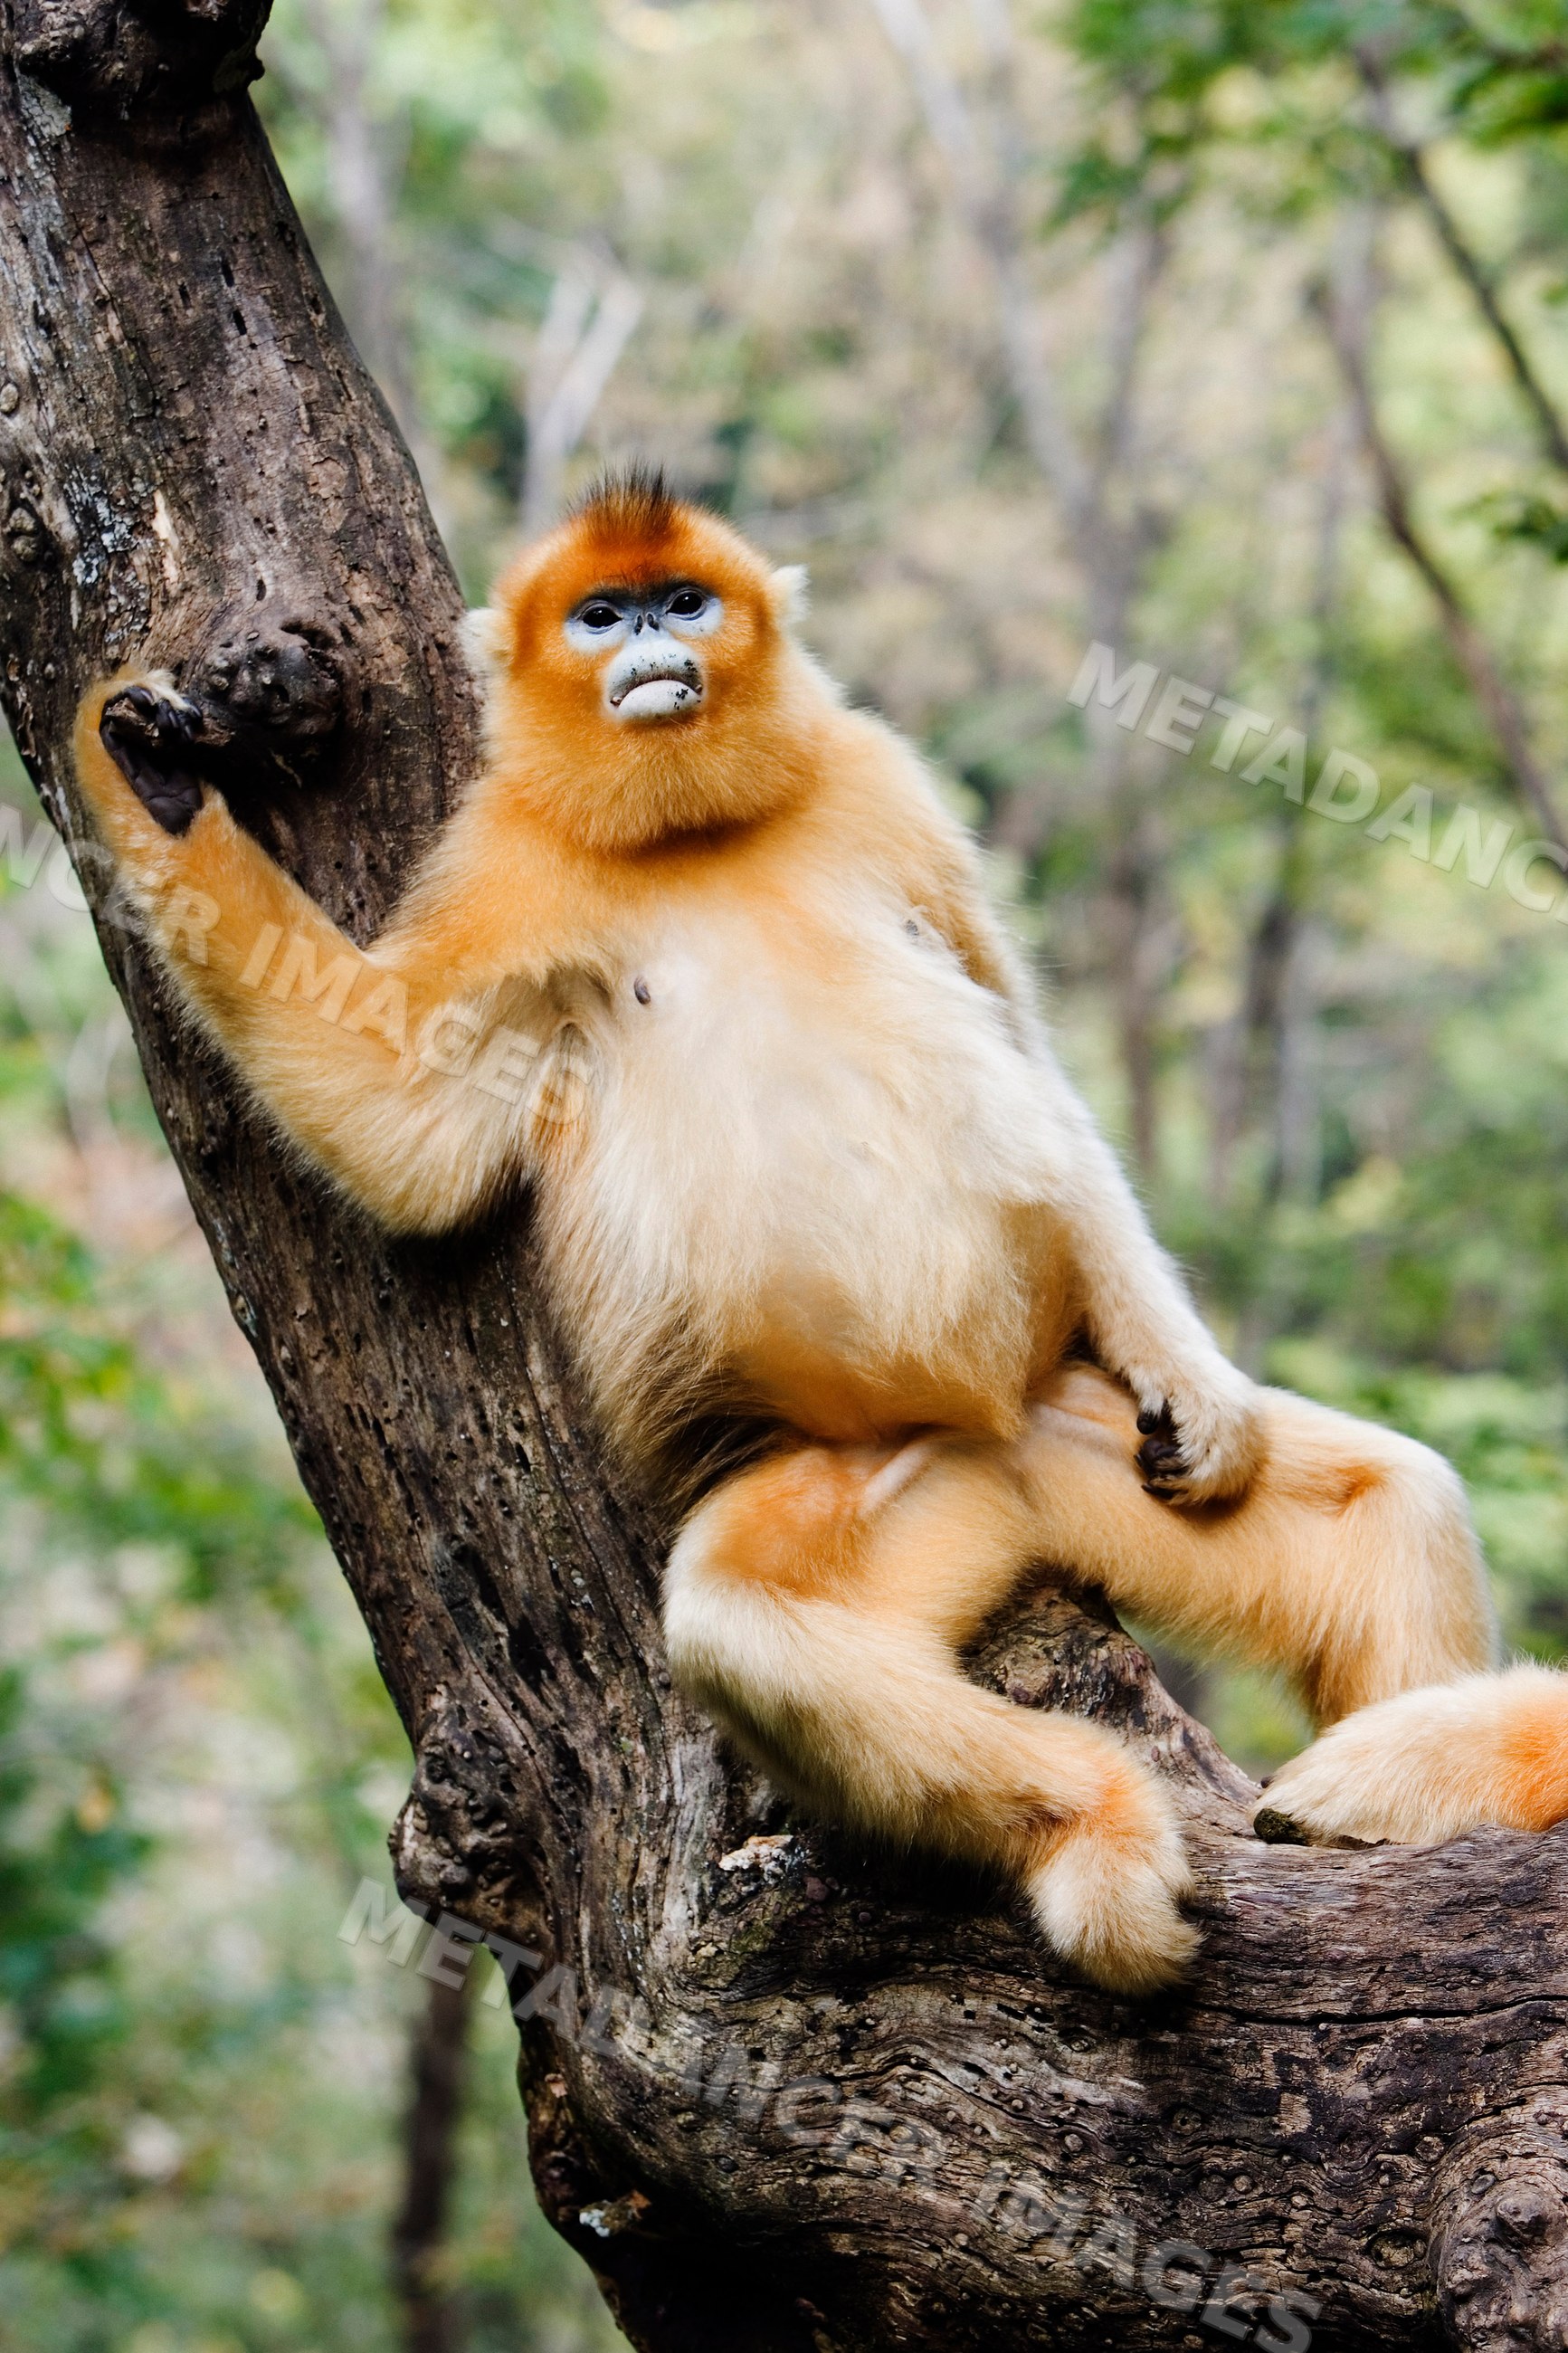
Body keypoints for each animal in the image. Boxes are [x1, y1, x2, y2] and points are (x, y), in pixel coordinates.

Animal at [72, 468, 1568, 1994]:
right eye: (601, 614)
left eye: (684, 600)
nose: (649, 647)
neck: (690, 834)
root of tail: (995, 1436)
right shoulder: (505, 867)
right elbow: (408, 1138)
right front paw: (157, 790)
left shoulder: (877, 777)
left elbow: (1020, 1048)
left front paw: (1195, 1384)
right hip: (895, 1481)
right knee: (754, 1630)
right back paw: (1095, 1826)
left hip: (1071, 1428)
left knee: (1391, 1501)